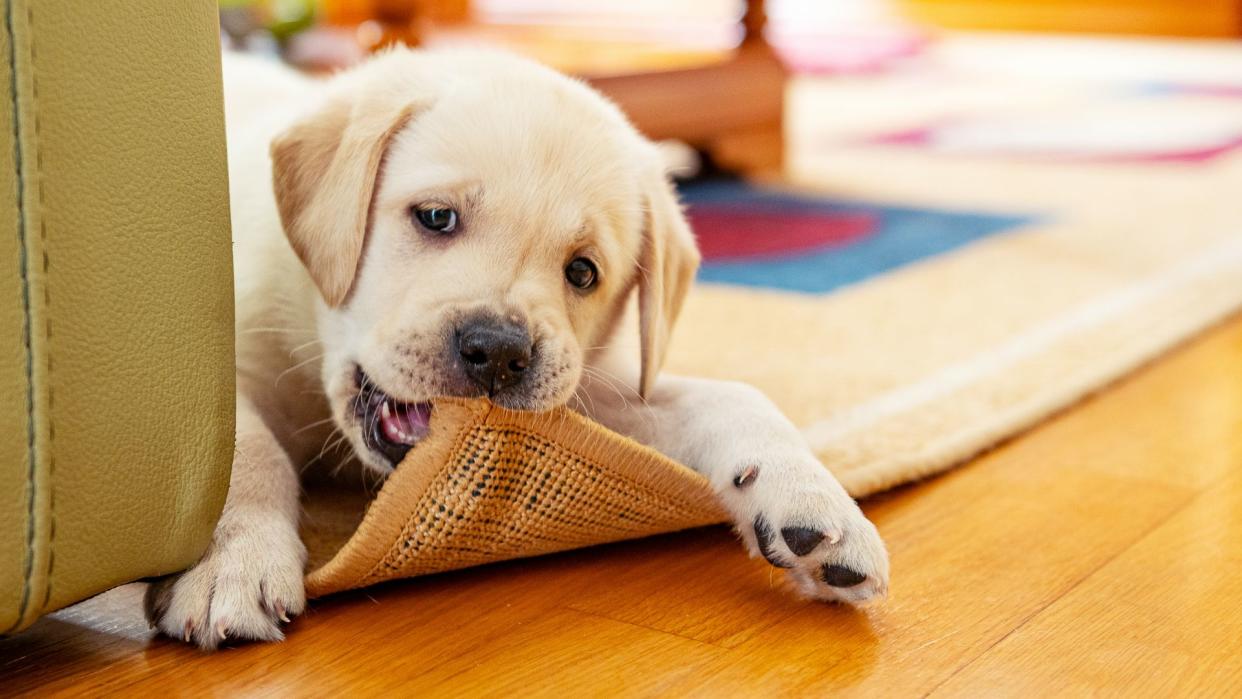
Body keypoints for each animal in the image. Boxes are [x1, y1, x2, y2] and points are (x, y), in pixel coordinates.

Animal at [145, 49, 889, 650]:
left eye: (583, 272)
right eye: (436, 216)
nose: (498, 350)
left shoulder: (584, 394)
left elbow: (735, 396)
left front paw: (813, 500)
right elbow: (242, 453)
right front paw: (231, 564)